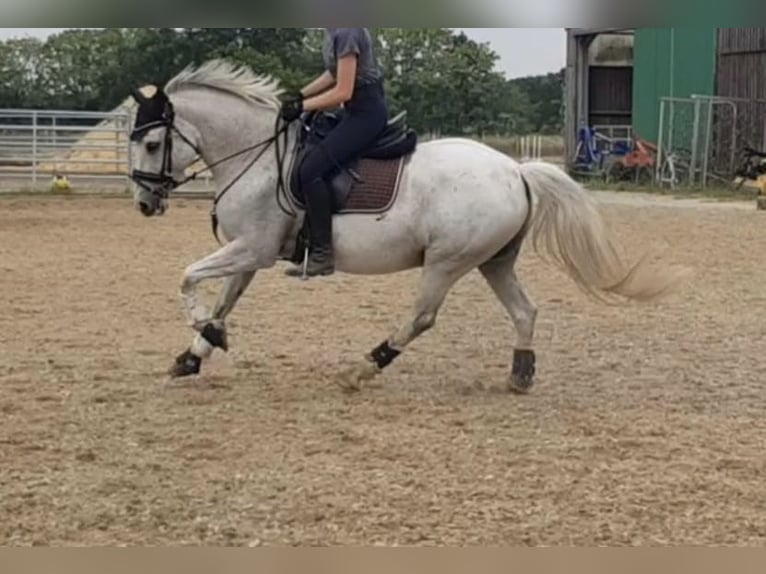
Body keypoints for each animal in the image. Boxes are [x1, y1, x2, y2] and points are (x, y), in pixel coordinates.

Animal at [127, 60, 688, 396]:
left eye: (152, 144)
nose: (144, 203)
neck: (258, 156)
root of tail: (515, 170)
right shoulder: (249, 254)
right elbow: (224, 300)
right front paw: (196, 351)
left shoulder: (254, 249)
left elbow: (187, 276)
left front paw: (202, 331)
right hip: (493, 261)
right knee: (524, 310)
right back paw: (520, 373)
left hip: (446, 261)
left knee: (422, 317)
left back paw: (365, 365)